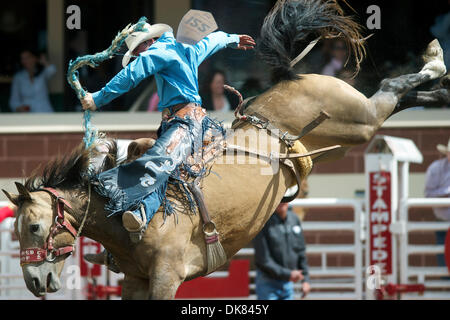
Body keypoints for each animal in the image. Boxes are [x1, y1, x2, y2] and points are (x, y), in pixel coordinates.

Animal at [1, 0, 448, 300]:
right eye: (16, 230)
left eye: (34, 227)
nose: (35, 282)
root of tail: (292, 77)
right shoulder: (134, 280)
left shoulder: (166, 276)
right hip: (350, 130)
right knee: (396, 95)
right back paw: (441, 88)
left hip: (356, 120)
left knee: (389, 89)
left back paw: (435, 62)